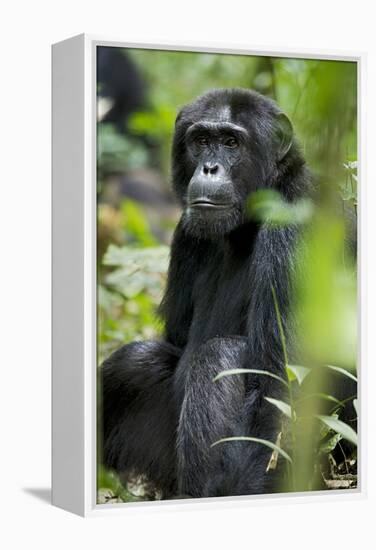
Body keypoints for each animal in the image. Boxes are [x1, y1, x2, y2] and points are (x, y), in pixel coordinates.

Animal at [101, 87, 312, 500]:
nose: (210, 167)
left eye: (231, 142)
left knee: (219, 357)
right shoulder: (185, 232)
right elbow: (174, 341)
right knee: (135, 361)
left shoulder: (293, 235)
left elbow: (279, 392)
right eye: (200, 141)